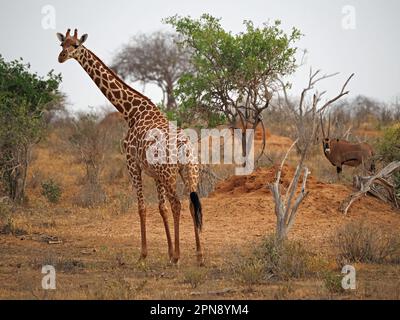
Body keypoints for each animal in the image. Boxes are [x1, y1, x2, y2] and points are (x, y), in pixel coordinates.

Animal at [57, 29, 203, 264]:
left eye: (76, 45)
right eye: (62, 44)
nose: (61, 57)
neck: (131, 112)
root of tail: (185, 147)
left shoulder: (132, 163)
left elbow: (142, 207)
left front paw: (144, 254)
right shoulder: (154, 173)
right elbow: (160, 208)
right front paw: (168, 250)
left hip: (170, 173)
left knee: (178, 204)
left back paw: (179, 257)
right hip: (190, 171)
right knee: (191, 203)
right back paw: (199, 256)